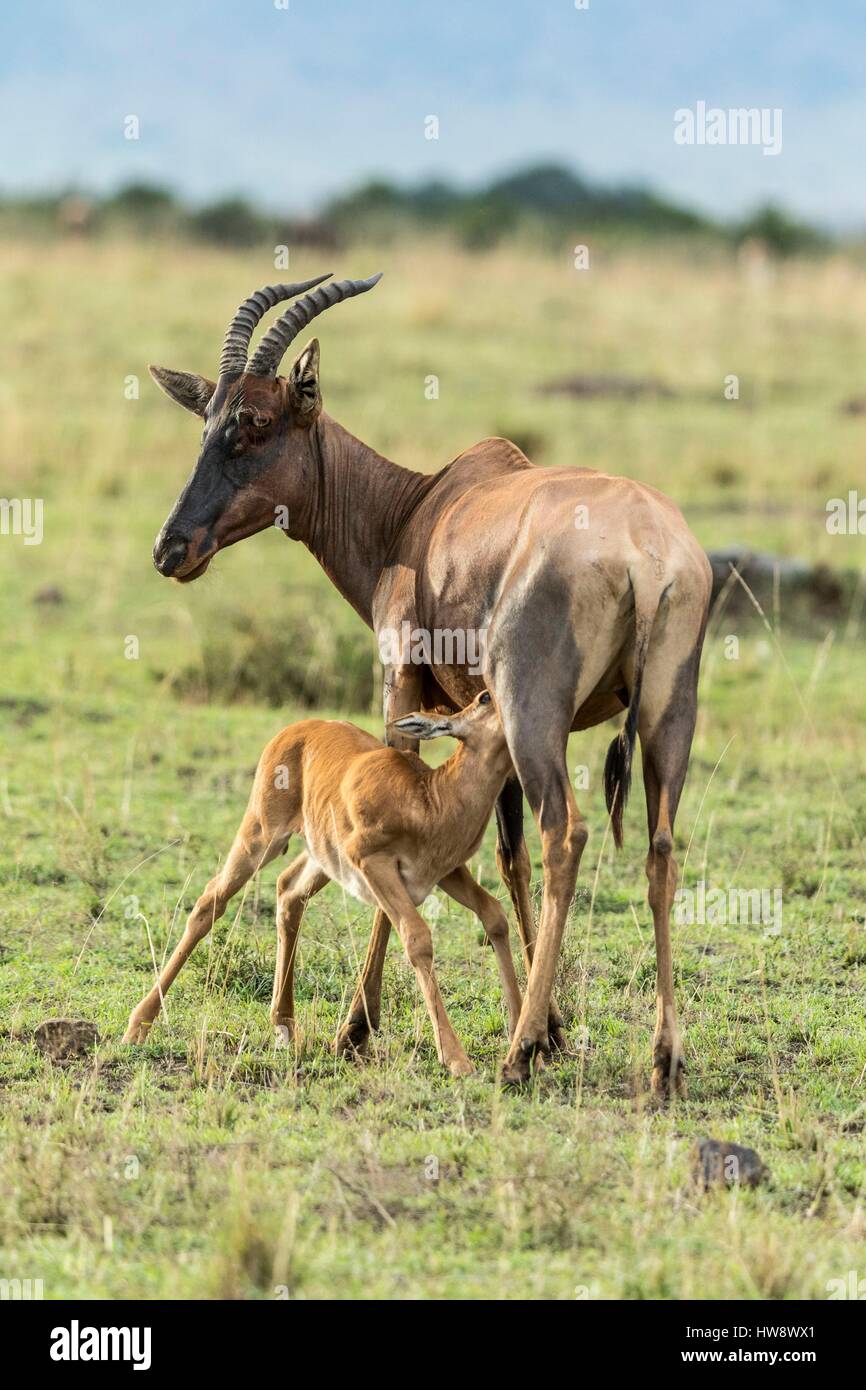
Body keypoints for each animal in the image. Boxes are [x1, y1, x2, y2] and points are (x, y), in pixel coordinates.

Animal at [125, 695, 522, 1073]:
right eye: (485, 697)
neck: (430, 796)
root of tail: (299, 728)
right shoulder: (374, 864)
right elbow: (418, 939)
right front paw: (457, 1059)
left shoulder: (447, 873)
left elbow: (495, 914)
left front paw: (523, 1035)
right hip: (261, 837)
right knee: (211, 900)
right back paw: (138, 1025)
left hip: (320, 856)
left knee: (288, 891)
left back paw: (284, 1024)